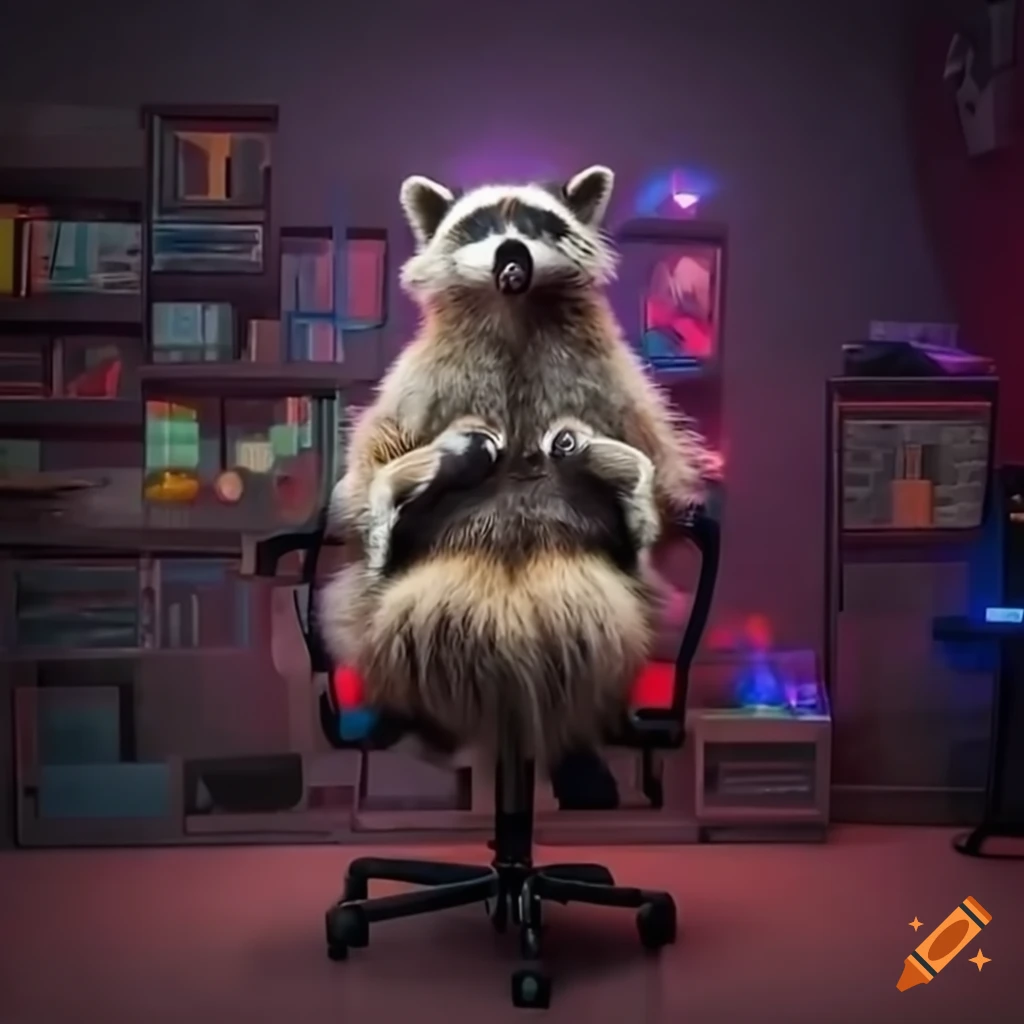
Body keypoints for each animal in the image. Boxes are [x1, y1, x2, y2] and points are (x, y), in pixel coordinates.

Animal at [320, 166, 711, 766]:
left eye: (534, 224)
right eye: (481, 226)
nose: (512, 253)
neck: (514, 311)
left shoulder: (613, 377)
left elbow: (663, 469)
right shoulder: (421, 377)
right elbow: (365, 470)